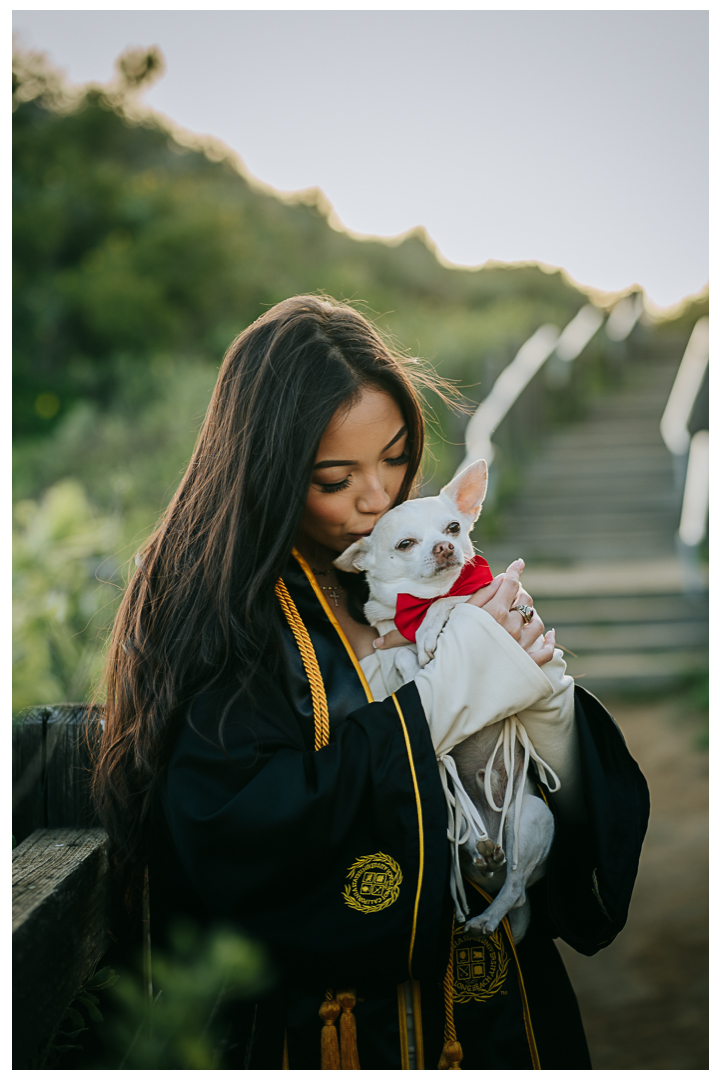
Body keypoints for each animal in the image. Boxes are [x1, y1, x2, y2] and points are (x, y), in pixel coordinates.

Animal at [334, 460, 557, 941]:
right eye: (405, 543)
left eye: (454, 527)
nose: (445, 546)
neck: (415, 602)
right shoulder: (390, 640)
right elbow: (400, 652)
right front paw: (413, 655)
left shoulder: (476, 594)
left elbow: (451, 603)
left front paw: (430, 629)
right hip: (457, 824)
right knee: (480, 860)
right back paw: (483, 861)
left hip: (528, 819)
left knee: (515, 888)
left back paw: (487, 919)